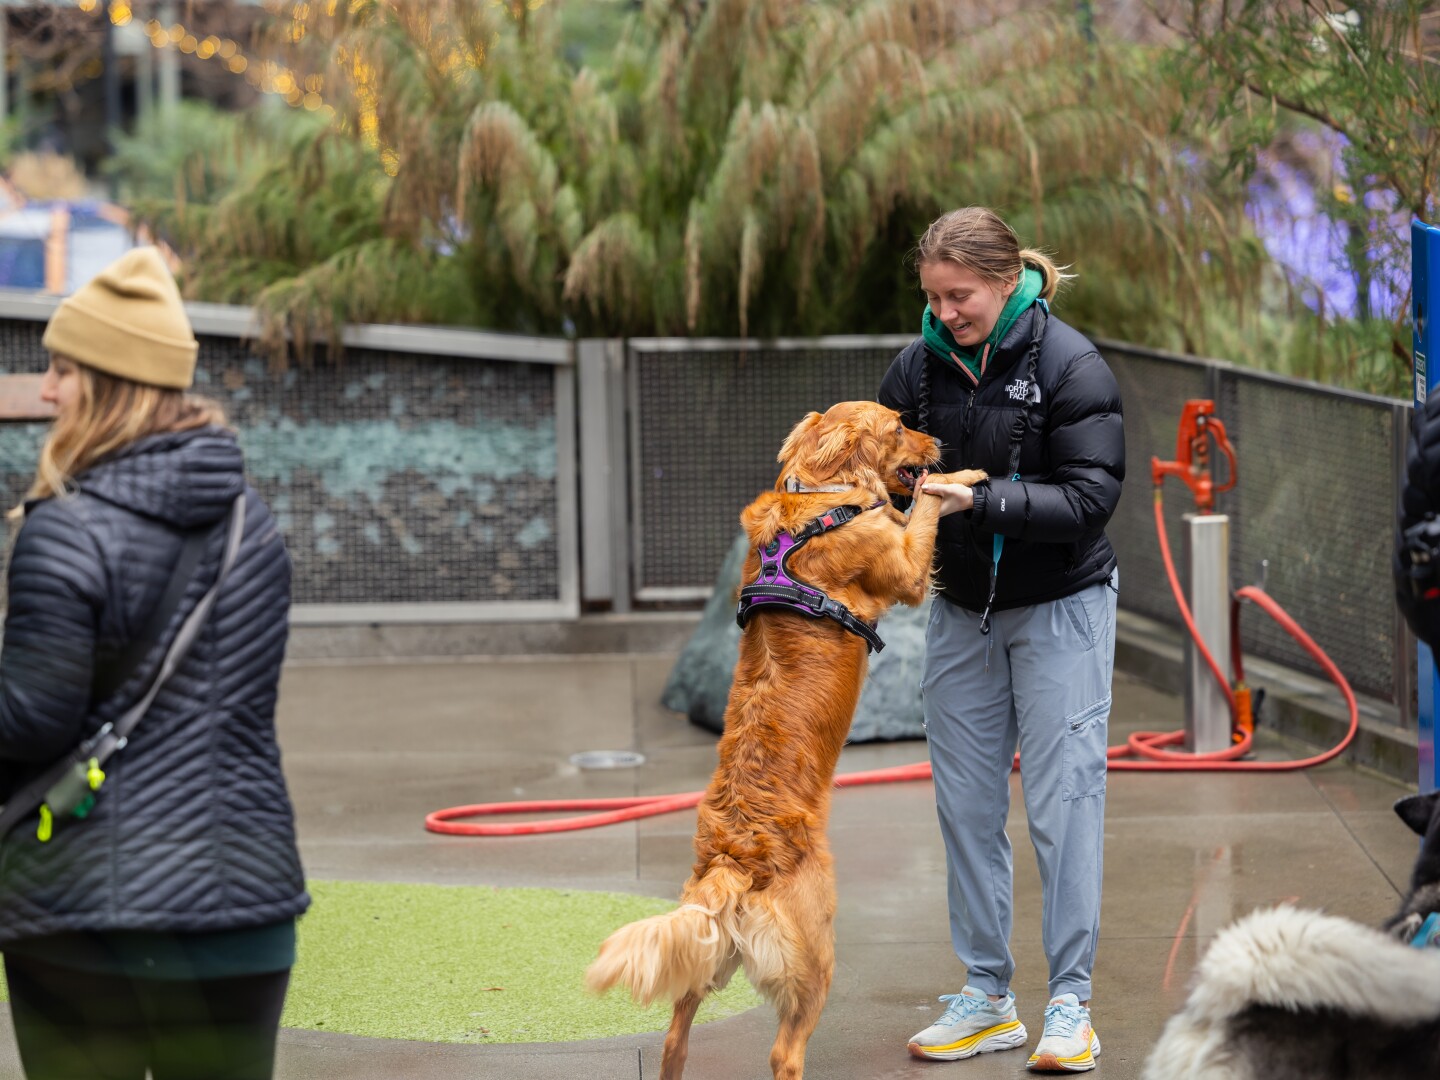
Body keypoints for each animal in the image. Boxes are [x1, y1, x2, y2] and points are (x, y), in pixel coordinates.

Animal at [587, 403, 990, 1077]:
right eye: (898, 425)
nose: (937, 436)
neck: (819, 497)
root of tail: (733, 858)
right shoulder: (906, 567)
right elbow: (925, 507)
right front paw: (961, 475)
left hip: (708, 958)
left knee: (675, 1037)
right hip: (817, 954)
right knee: (785, 1051)